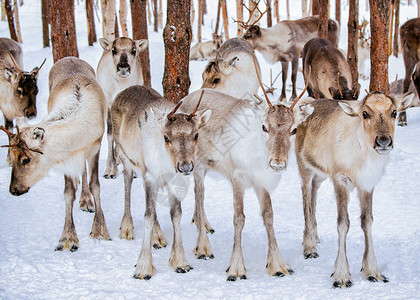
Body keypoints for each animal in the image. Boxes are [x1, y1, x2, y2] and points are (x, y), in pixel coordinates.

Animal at [1, 56, 110, 251]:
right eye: (11, 158)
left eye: (26, 159)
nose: (13, 190)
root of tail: (69, 57)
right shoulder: (65, 156)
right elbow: (68, 193)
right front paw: (68, 237)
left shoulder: (95, 146)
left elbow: (95, 185)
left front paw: (99, 230)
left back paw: (86, 200)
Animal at [111, 85, 210, 280]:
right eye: (166, 137)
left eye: (196, 135)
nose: (185, 166)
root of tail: (124, 90)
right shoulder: (151, 176)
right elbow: (148, 215)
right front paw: (143, 267)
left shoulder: (174, 181)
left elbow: (176, 214)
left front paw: (179, 261)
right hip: (125, 157)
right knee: (127, 183)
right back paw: (126, 228)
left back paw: (157, 237)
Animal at [296, 90, 414, 288]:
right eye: (365, 113)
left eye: (394, 112)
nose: (383, 141)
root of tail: (307, 103)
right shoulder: (340, 179)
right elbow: (343, 223)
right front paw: (342, 275)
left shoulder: (367, 184)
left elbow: (367, 221)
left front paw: (372, 271)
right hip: (304, 167)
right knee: (305, 197)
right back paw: (309, 246)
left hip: (321, 173)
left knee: (314, 191)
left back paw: (316, 235)